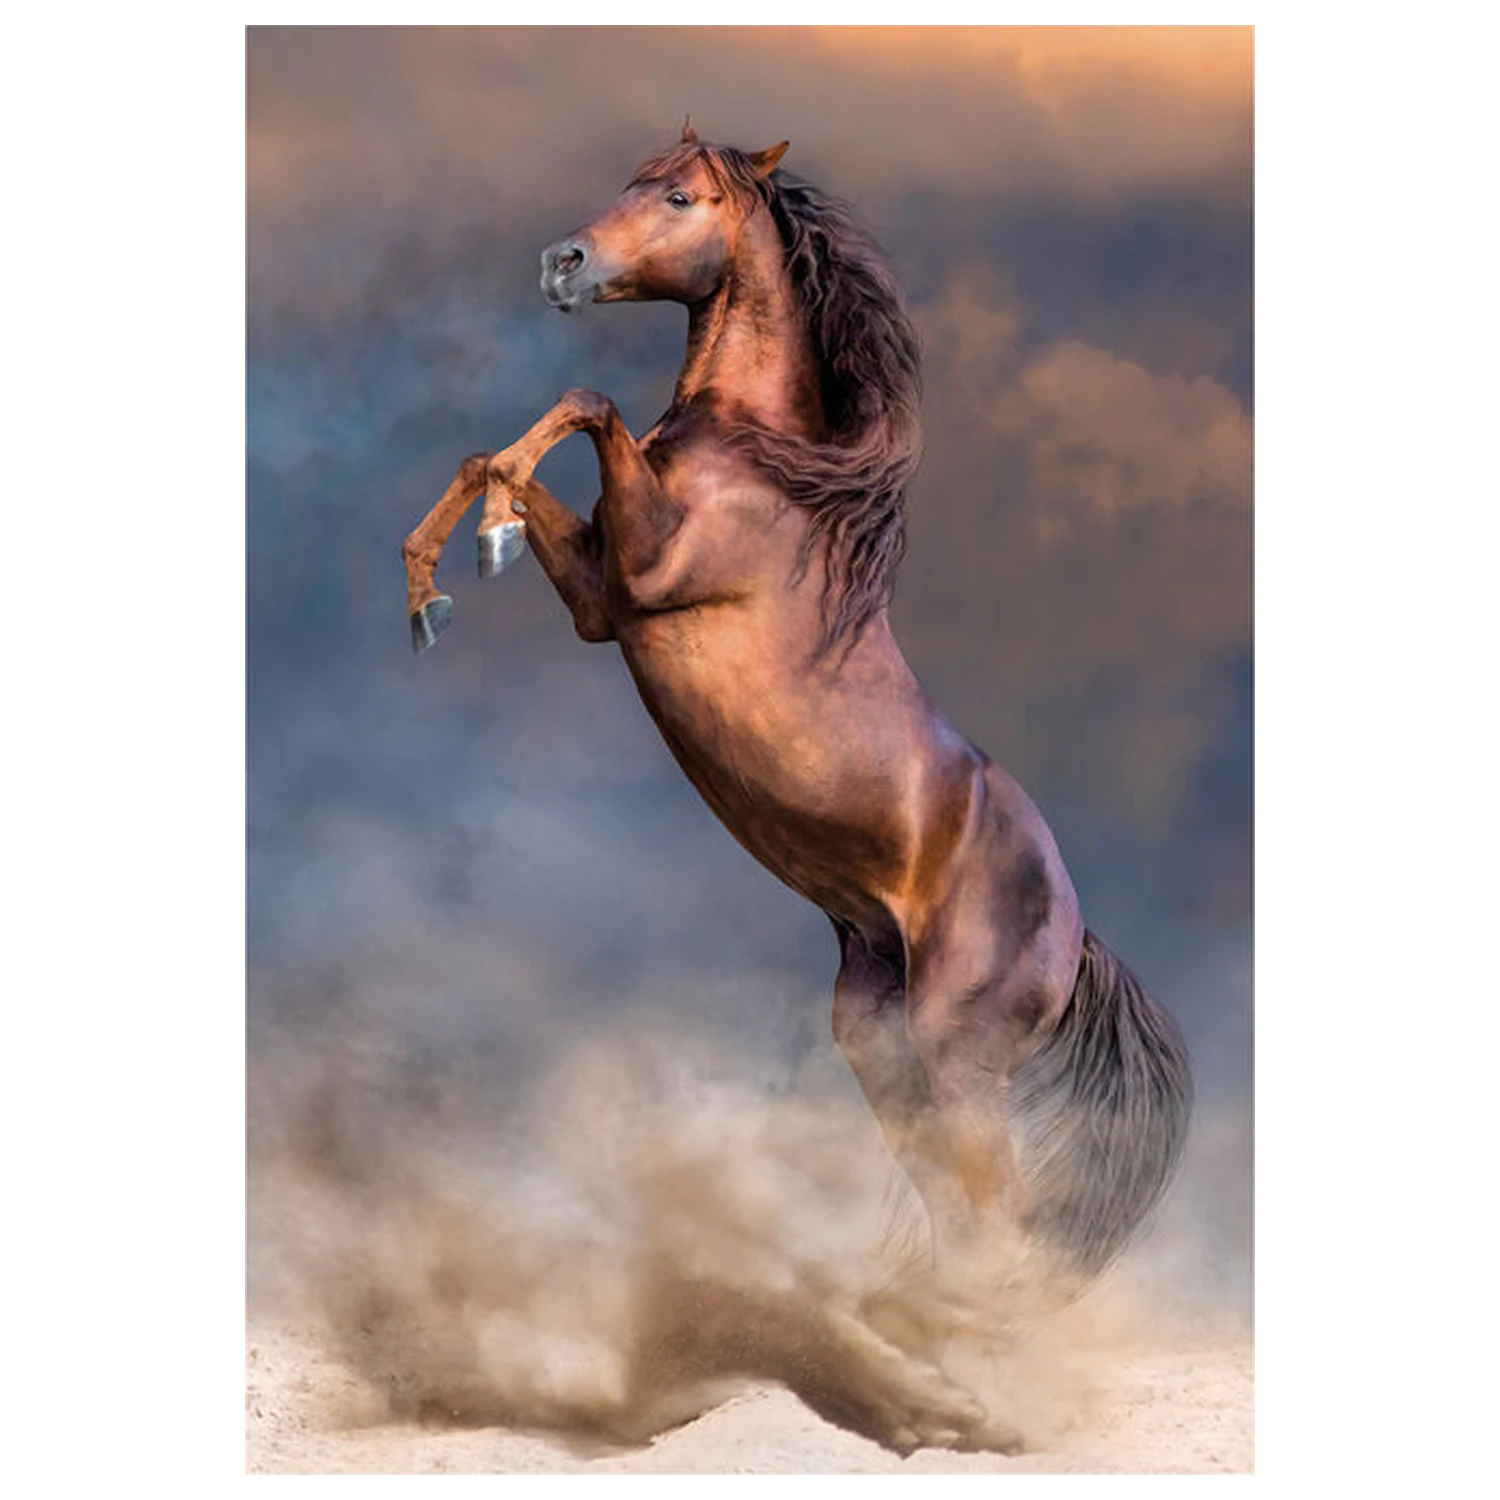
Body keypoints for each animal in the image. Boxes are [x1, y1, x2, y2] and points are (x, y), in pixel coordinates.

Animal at [400, 124, 1192, 1450]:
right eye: (626, 180)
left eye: (678, 195)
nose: (563, 264)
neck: (760, 466)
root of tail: (1077, 932)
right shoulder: (604, 601)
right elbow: (502, 452)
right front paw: (439, 581)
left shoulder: (646, 571)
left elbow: (587, 402)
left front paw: (476, 549)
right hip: (881, 1043)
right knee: (960, 1214)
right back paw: (917, 1358)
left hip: (959, 1053)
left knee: (1001, 1218)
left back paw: (970, 1391)